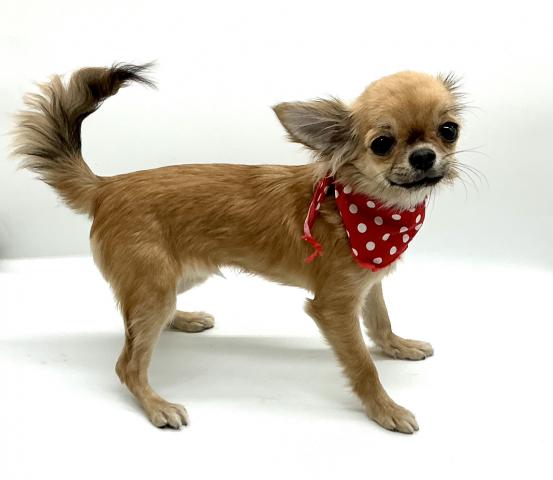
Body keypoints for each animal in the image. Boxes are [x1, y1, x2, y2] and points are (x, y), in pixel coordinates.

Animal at [13, 63, 463, 433]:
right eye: (382, 143)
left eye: (449, 130)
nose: (425, 156)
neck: (362, 209)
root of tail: (106, 187)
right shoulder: (334, 306)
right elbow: (363, 366)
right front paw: (385, 409)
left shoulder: (368, 284)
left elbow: (381, 320)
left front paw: (398, 346)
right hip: (154, 287)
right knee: (128, 364)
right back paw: (157, 404)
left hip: (179, 277)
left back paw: (184, 319)